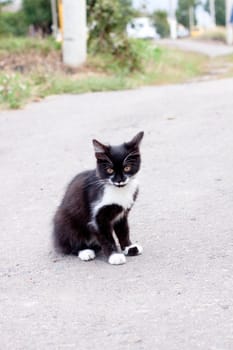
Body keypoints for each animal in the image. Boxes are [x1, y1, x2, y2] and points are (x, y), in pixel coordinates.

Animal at [53, 131, 144, 266]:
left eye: (127, 168)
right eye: (109, 170)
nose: (119, 180)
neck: (117, 189)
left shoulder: (122, 213)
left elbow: (123, 230)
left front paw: (129, 247)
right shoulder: (97, 216)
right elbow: (105, 236)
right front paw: (115, 255)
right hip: (64, 219)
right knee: (70, 241)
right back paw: (84, 251)